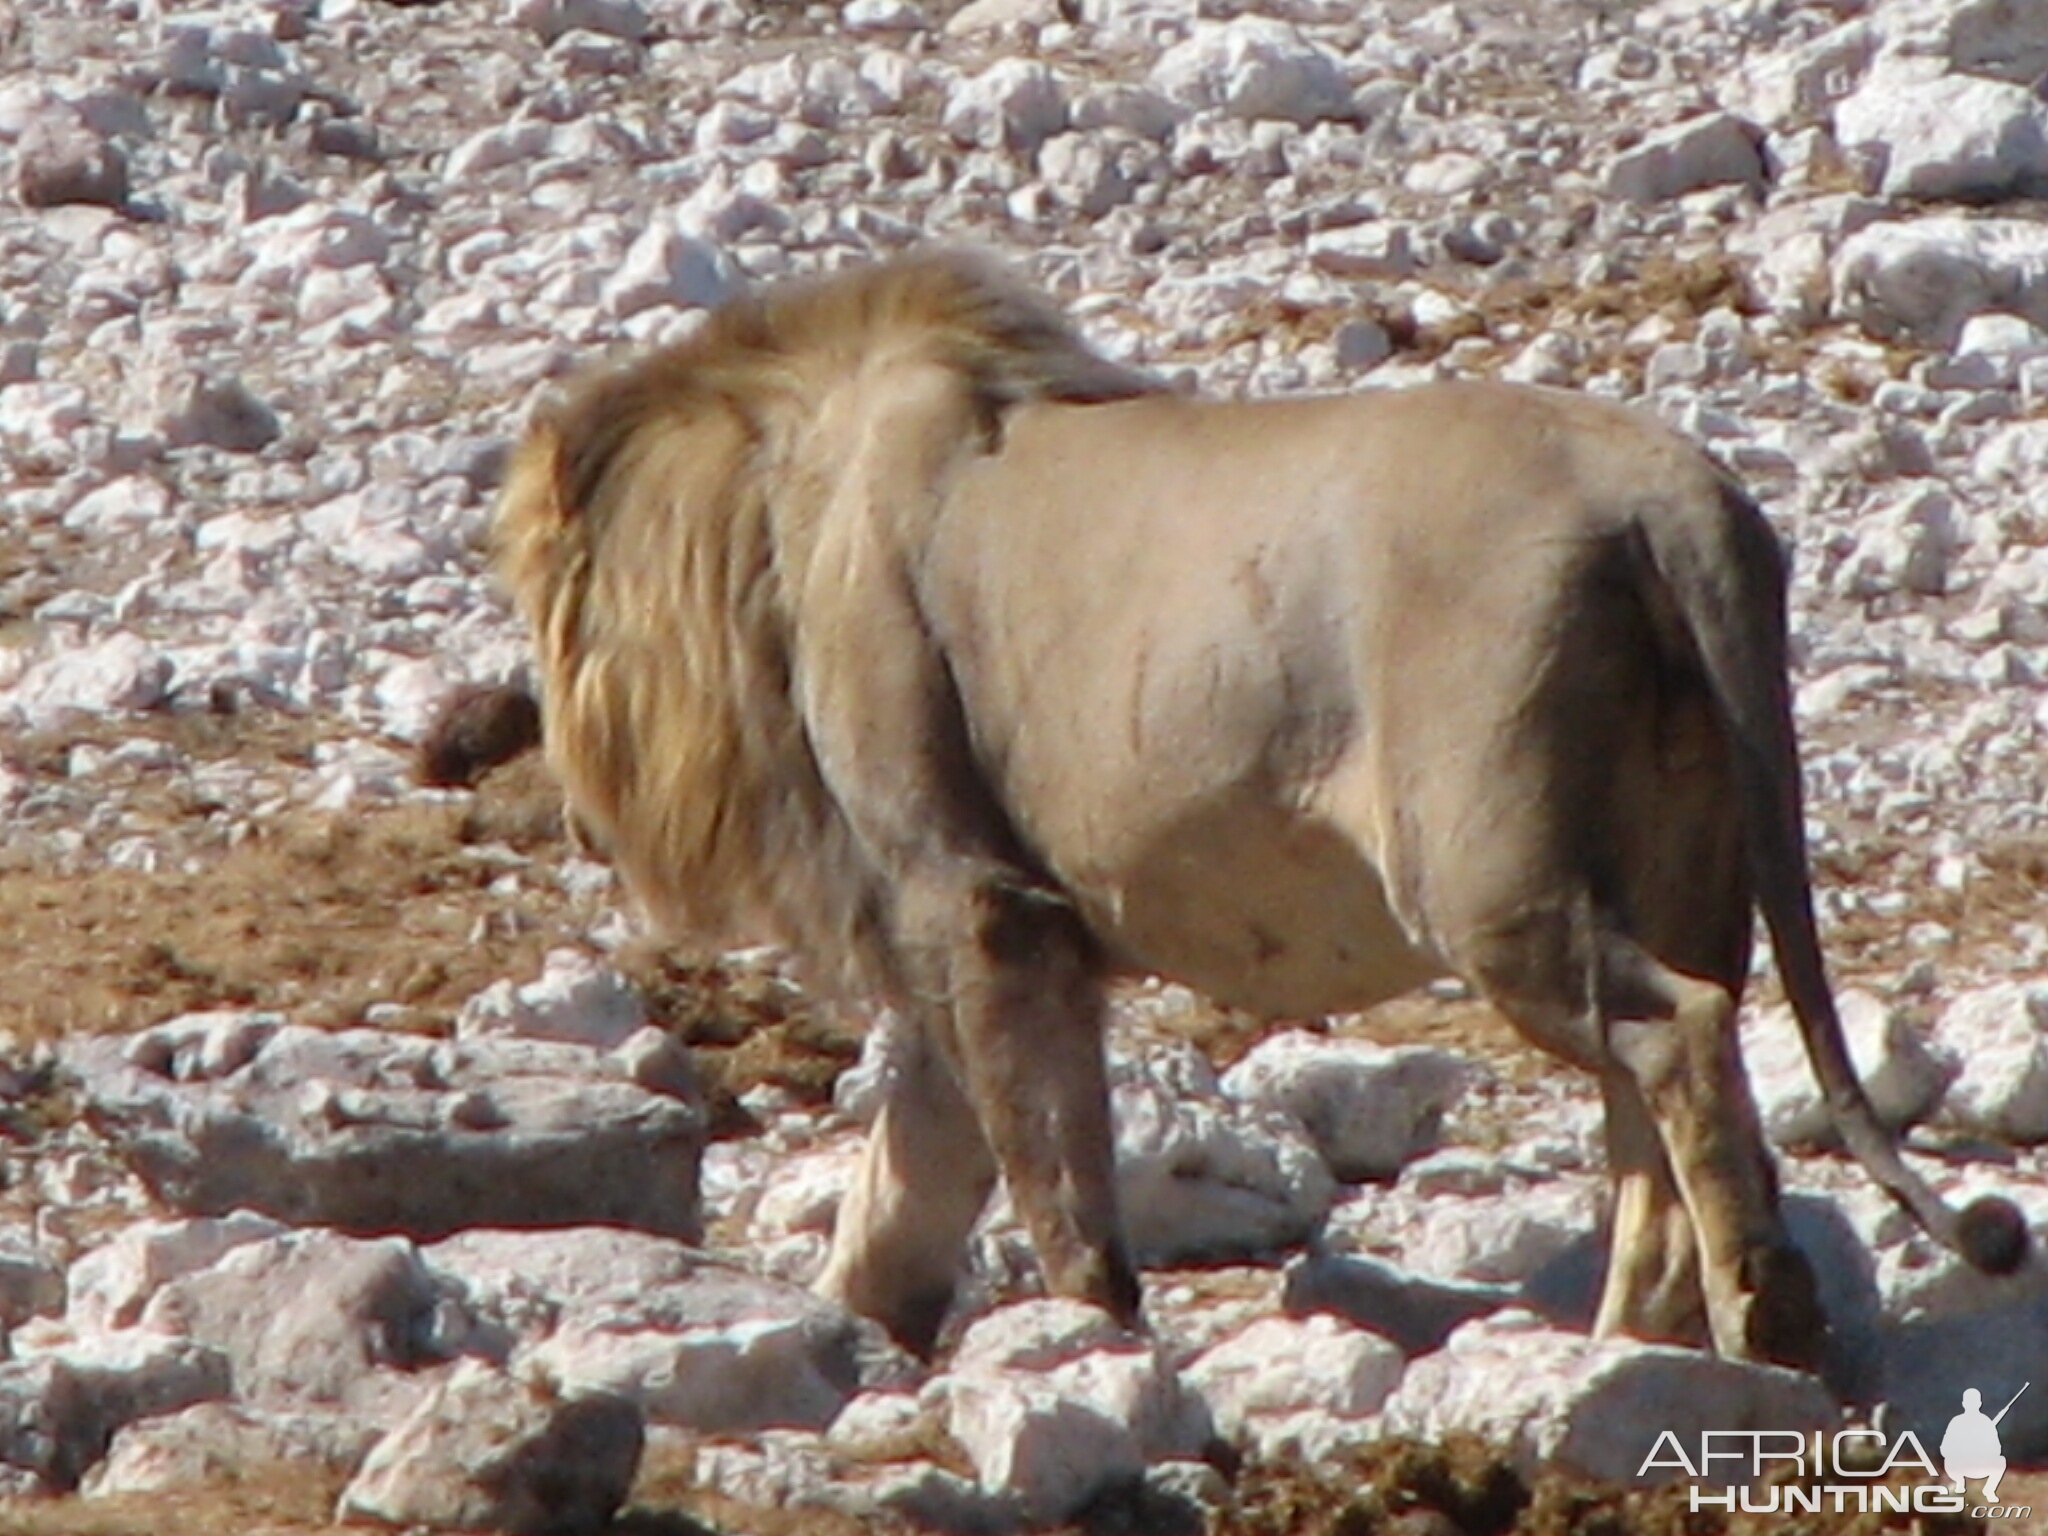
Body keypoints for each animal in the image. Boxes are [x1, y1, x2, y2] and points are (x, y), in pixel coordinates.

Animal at [491, 252, 2015, 1368]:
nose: (560, 793)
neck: (773, 504)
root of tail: (1675, 497)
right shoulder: (950, 924)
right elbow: (915, 1166)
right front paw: (863, 1332)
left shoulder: (975, 899)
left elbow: (1043, 1164)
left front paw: (1087, 1344)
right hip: (1679, 860)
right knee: (1665, 1081)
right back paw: (1632, 1344)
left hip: (1486, 878)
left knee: (1677, 1036)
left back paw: (1757, 1317)